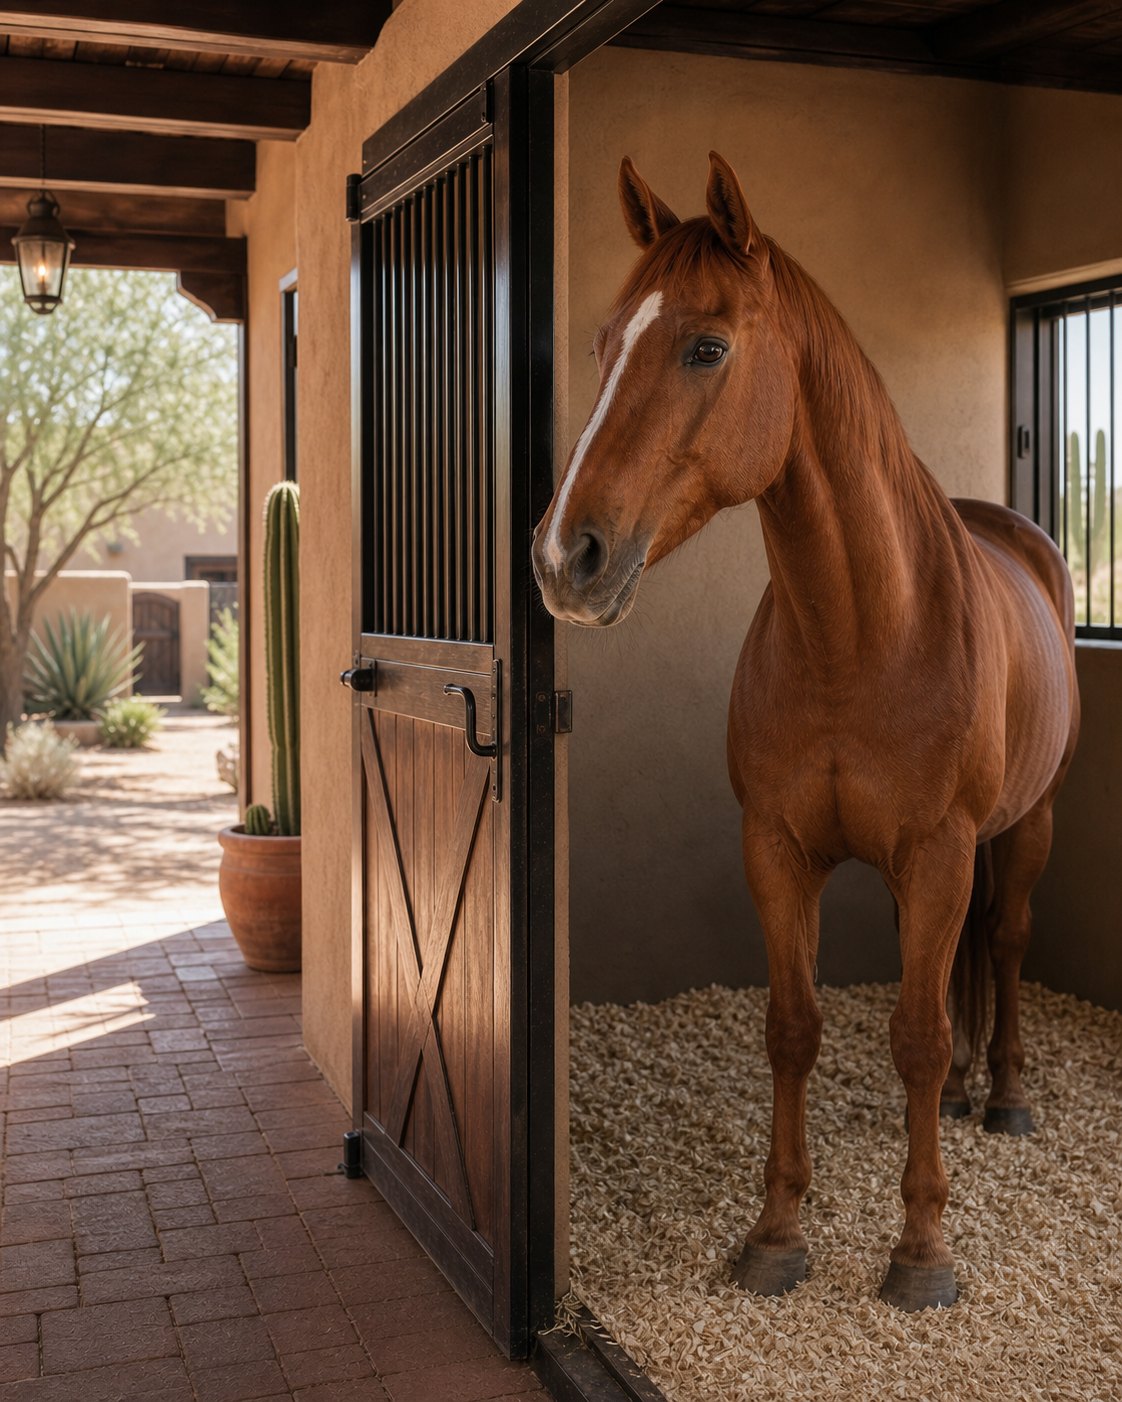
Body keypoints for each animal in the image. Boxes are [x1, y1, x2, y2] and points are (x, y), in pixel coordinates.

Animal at [532, 152, 1079, 1312]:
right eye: (602, 346)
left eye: (706, 345)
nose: (563, 558)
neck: (863, 633)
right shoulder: (778, 850)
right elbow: (794, 1030)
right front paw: (777, 1234)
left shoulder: (939, 851)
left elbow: (916, 1035)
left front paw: (921, 1253)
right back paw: (961, 1097)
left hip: (1027, 825)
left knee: (1006, 942)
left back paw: (1004, 1094)